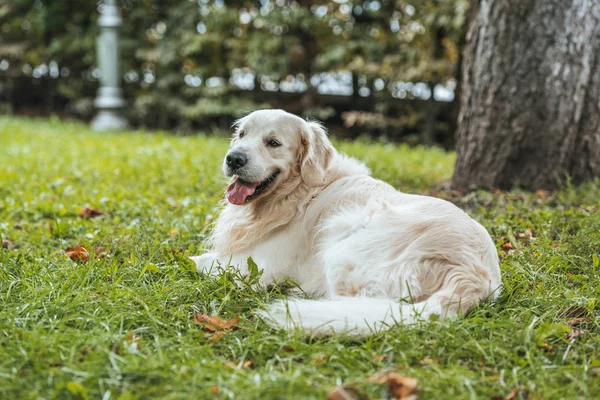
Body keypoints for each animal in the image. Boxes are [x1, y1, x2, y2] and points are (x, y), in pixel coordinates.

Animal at [192, 108, 502, 334]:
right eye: (241, 134)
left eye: (273, 143)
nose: (233, 158)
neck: (299, 193)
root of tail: (475, 274)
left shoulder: (262, 265)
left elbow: (198, 261)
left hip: (344, 237)